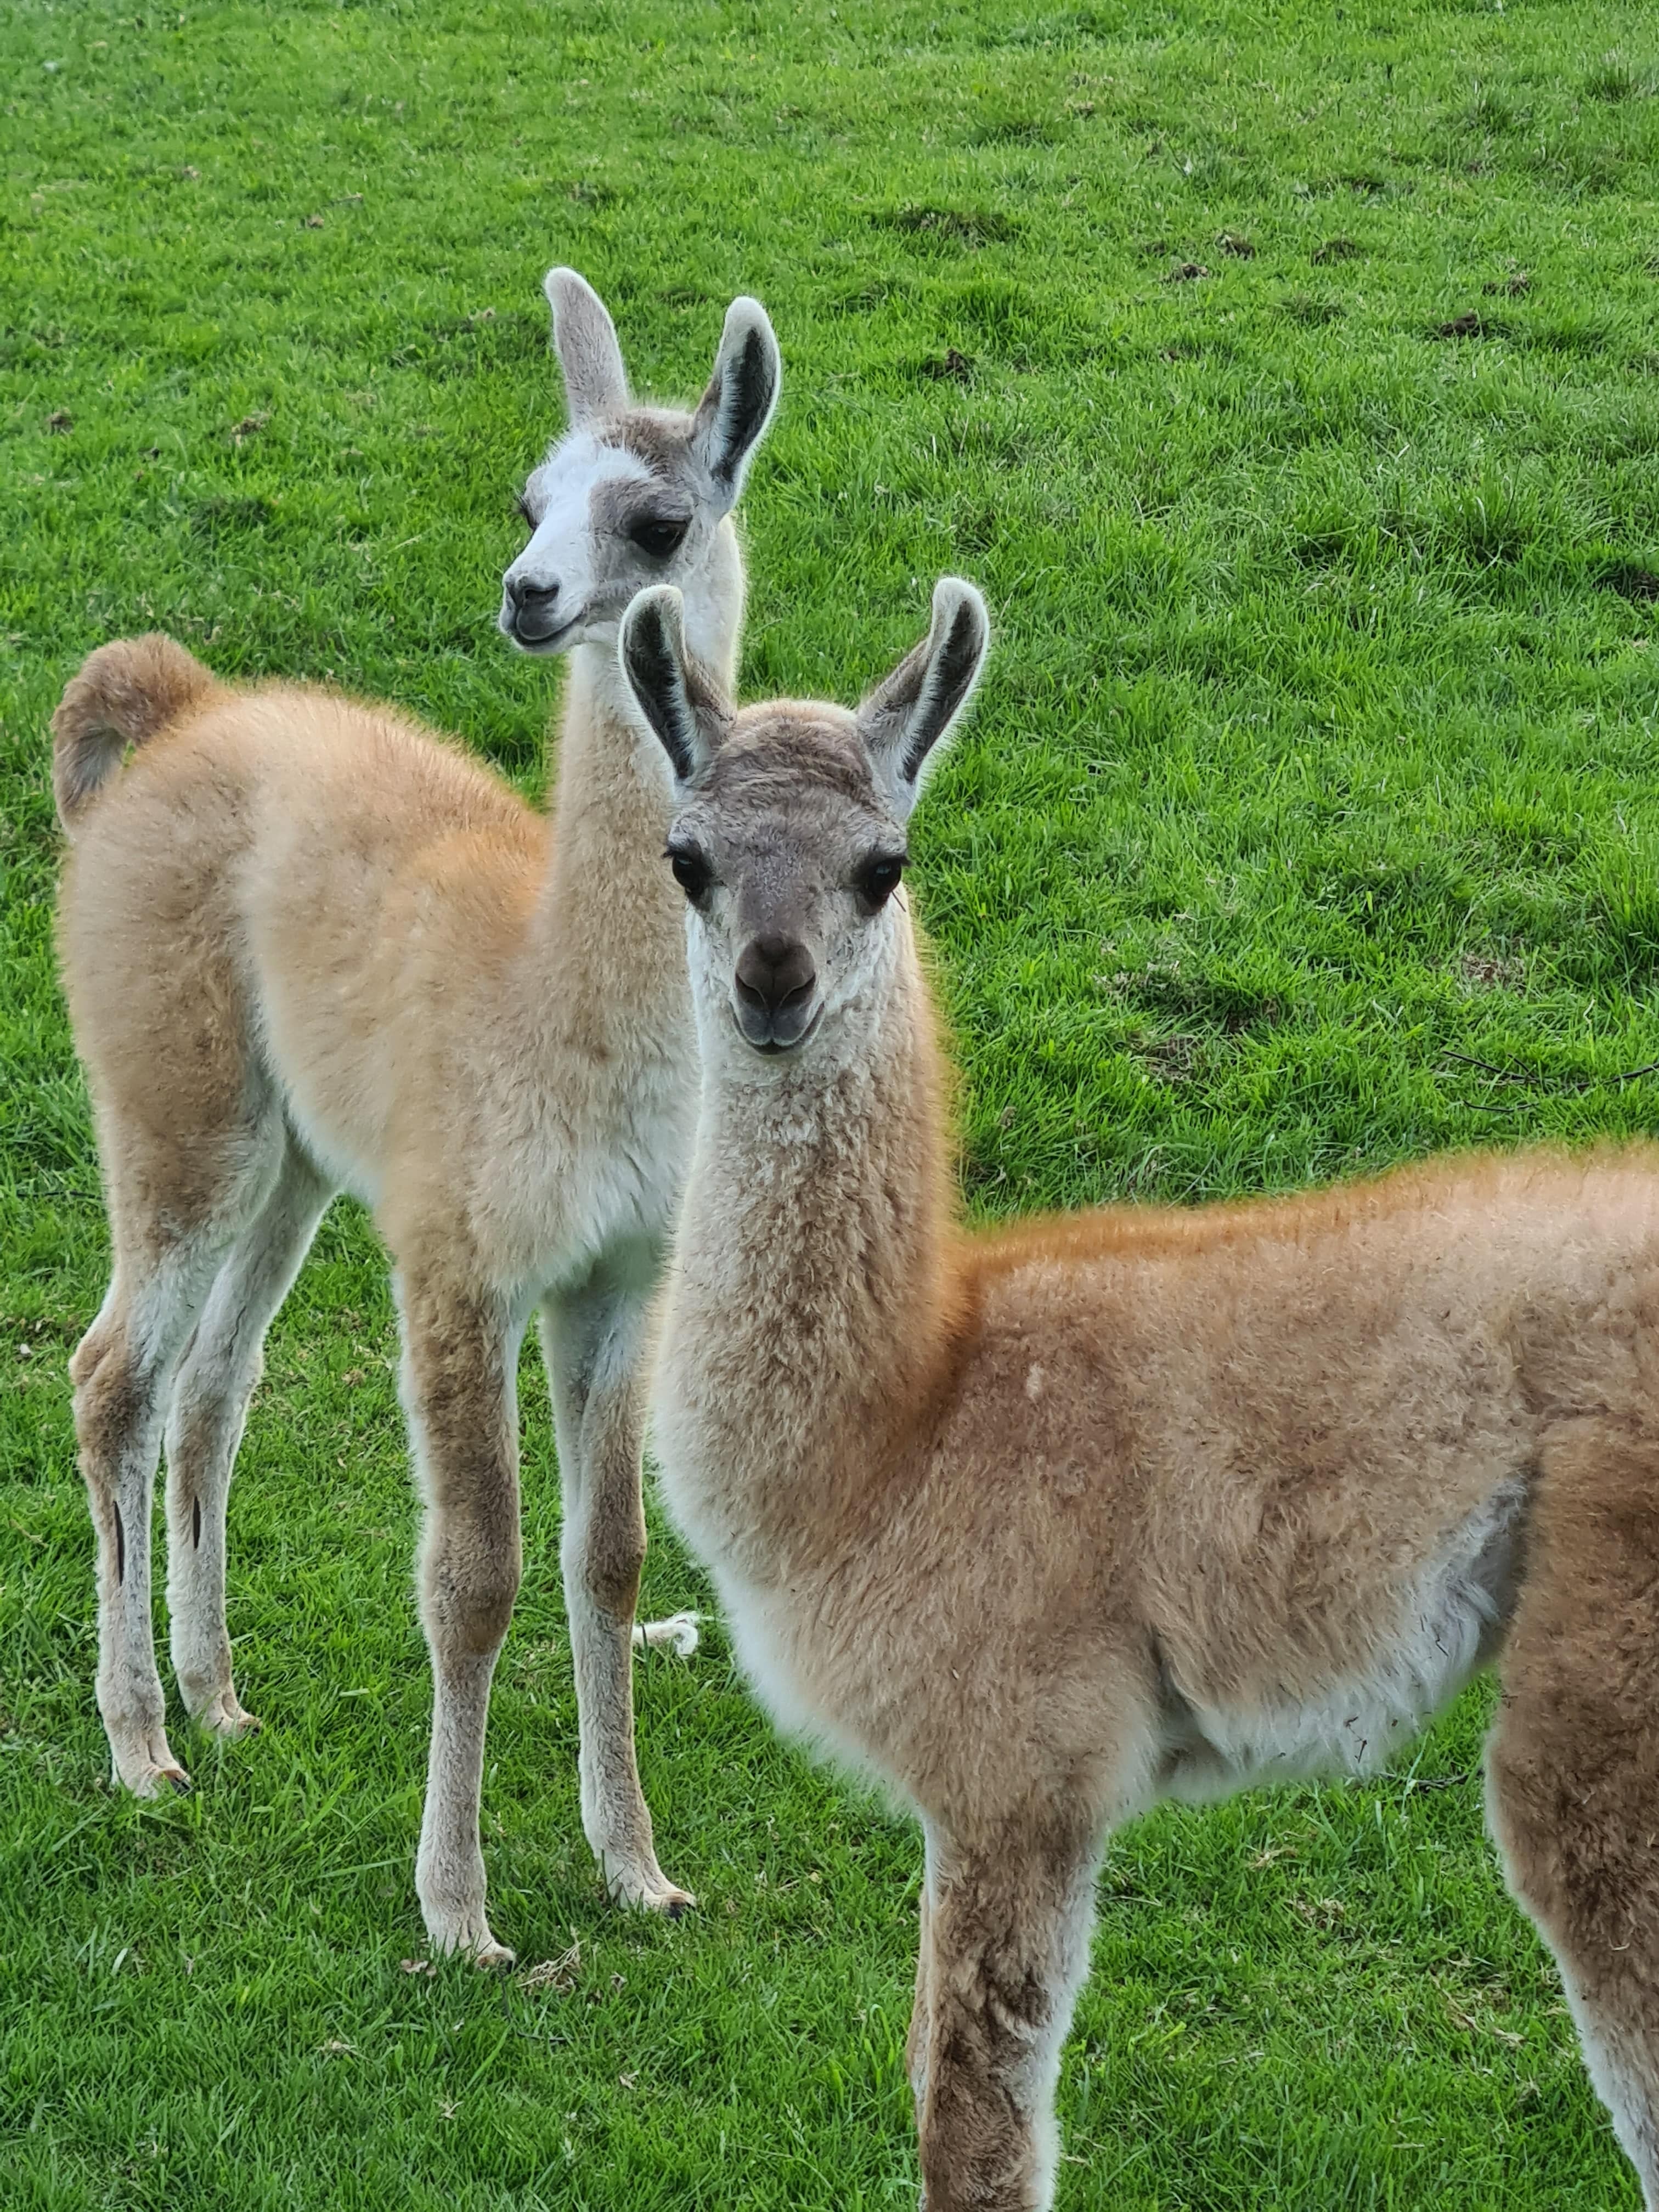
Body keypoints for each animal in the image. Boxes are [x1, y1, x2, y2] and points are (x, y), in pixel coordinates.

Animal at [50, 270, 780, 1965]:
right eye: (527, 499)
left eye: (657, 517)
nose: (527, 593)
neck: (556, 997)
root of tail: (189, 708)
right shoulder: (463, 1260)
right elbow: (474, 1575)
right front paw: (459, 1913)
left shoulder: (617, 1275)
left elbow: (606, 1555)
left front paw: (634, 1865)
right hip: (177, 1101)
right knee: (115, 1380)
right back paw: (140, 1745)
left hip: (298, 1159)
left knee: (216, 1384)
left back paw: (220, 1699)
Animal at [614, 573, 1659, 2209]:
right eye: (688, 857)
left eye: (882, 866)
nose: (773, 979)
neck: (901, 1423)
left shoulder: (1018, 1764)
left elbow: (972, 2124)